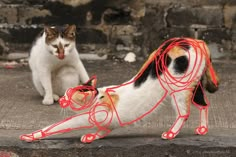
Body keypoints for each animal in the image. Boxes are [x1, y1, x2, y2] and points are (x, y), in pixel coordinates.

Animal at [21, 37, 218, 142]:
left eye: (71, 94)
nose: (61, 99)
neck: (97, 98)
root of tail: (195, 40)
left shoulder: (92, 116)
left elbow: (60, 125)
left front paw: (31, 135)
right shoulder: (106, 125)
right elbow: (101, 131)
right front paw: (92, 136)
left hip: (180, 89)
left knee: (184, 112)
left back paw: (171, 133)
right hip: (194, 86)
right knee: (204, 104)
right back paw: (202, 129)